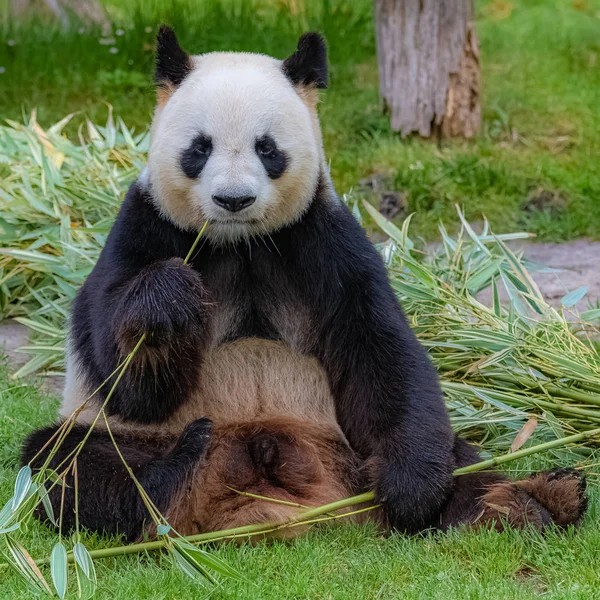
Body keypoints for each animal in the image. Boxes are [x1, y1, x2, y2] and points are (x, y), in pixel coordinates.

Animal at [22, 27, 584, 540]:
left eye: (267, 148)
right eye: (199, 148)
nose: (233, 200)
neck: (239, 243)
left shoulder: (319, 237)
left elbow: (380, 349)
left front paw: (410, 491)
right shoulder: (147, 227)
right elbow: (124, 374)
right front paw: (171, 299)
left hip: (351, 445)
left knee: (460, 459)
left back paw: (533, 501)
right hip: (115, 437)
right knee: (65, 466)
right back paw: (177, 465)